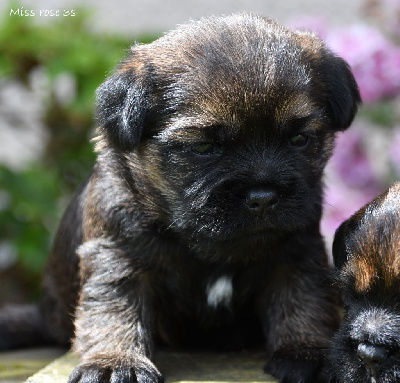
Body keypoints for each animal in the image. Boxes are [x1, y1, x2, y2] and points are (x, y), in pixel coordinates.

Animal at [0, 12, 360, 383]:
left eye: (299, 140)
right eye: (203, 147)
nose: (262, 197)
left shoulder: (295, 252)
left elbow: (302, 299)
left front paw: (308, 351)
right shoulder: (118, 256)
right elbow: (115, 309)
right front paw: (115, 361)